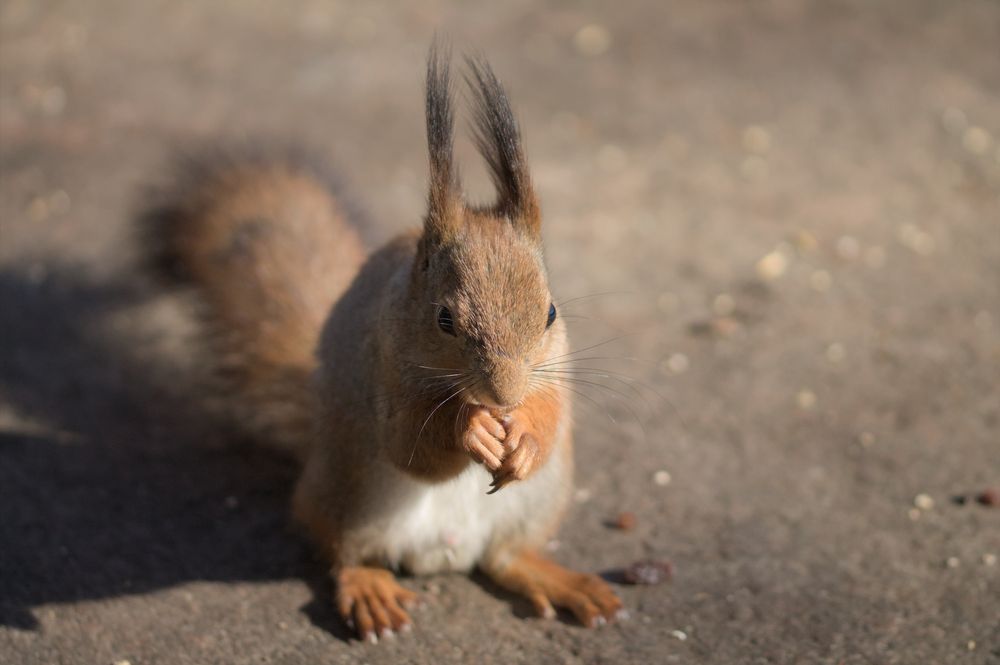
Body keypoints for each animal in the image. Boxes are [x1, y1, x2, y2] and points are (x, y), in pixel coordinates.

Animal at [142, 45, 624, 642]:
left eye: (551, 313)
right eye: (445, 319)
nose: (504, 398)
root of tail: (444, 554)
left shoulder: (556, 365)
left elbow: (551, 413)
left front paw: (525, 438)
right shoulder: (384, 367)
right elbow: (409, 441)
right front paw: (471, 428)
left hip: (538, 501)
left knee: (507, 558)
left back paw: (560, 580)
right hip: (350, 494)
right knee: (346, 553)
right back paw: (370, 590)